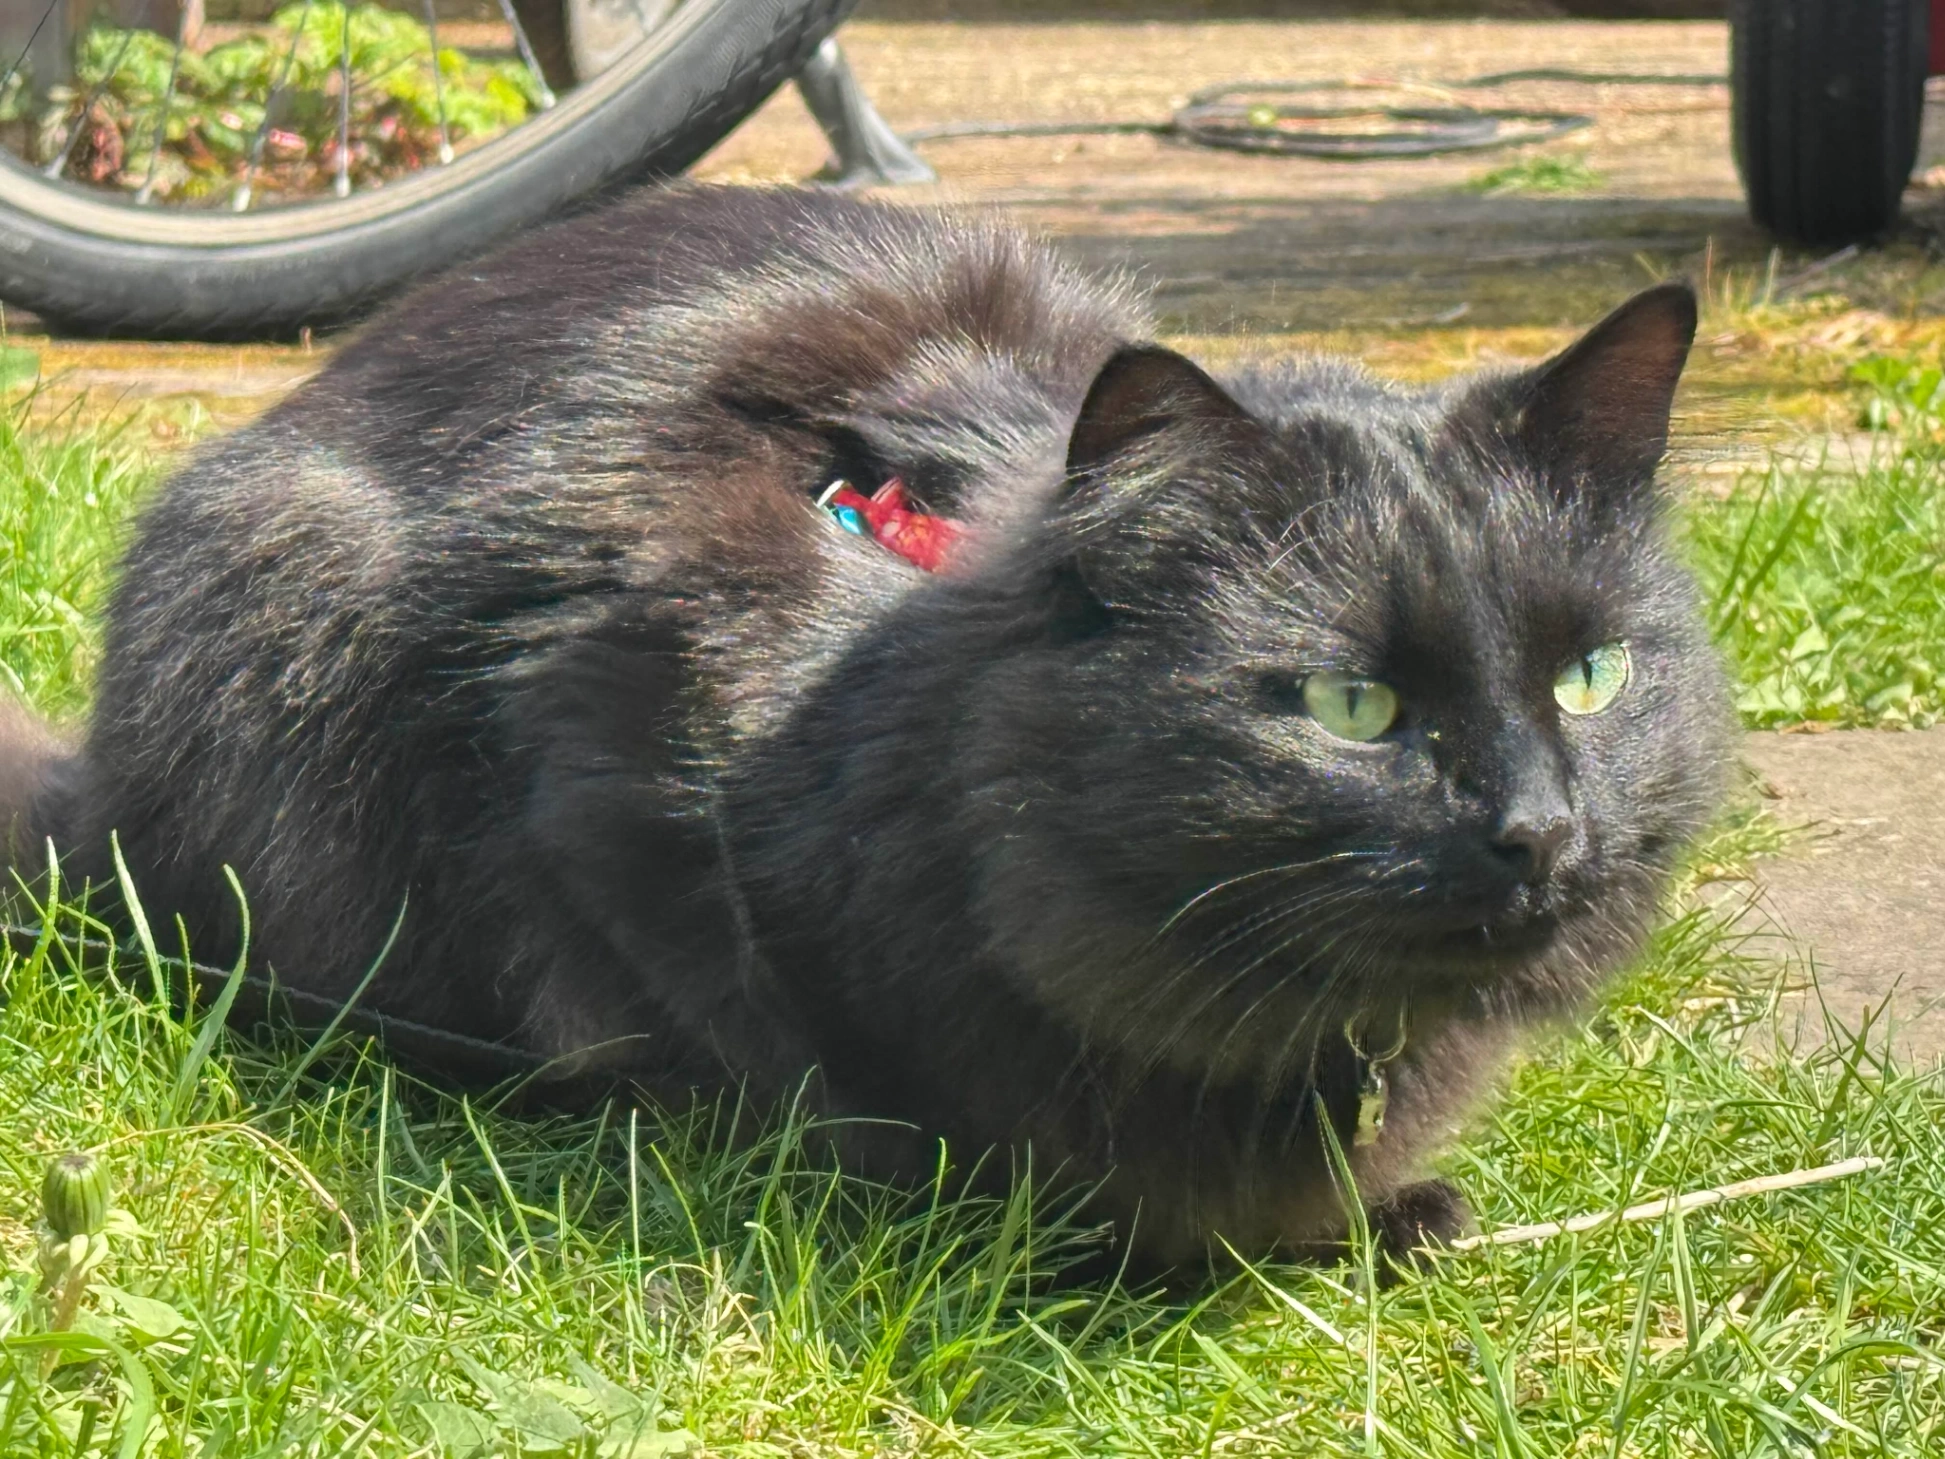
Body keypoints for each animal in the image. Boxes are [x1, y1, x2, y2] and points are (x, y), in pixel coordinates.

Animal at [7, 185, 1730, 1271]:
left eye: (1591, 676)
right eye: (1351, 704)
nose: (1540, 825)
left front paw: (1367, 1213)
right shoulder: (602, 778)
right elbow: (823, 1081)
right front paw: (1077, 1227)